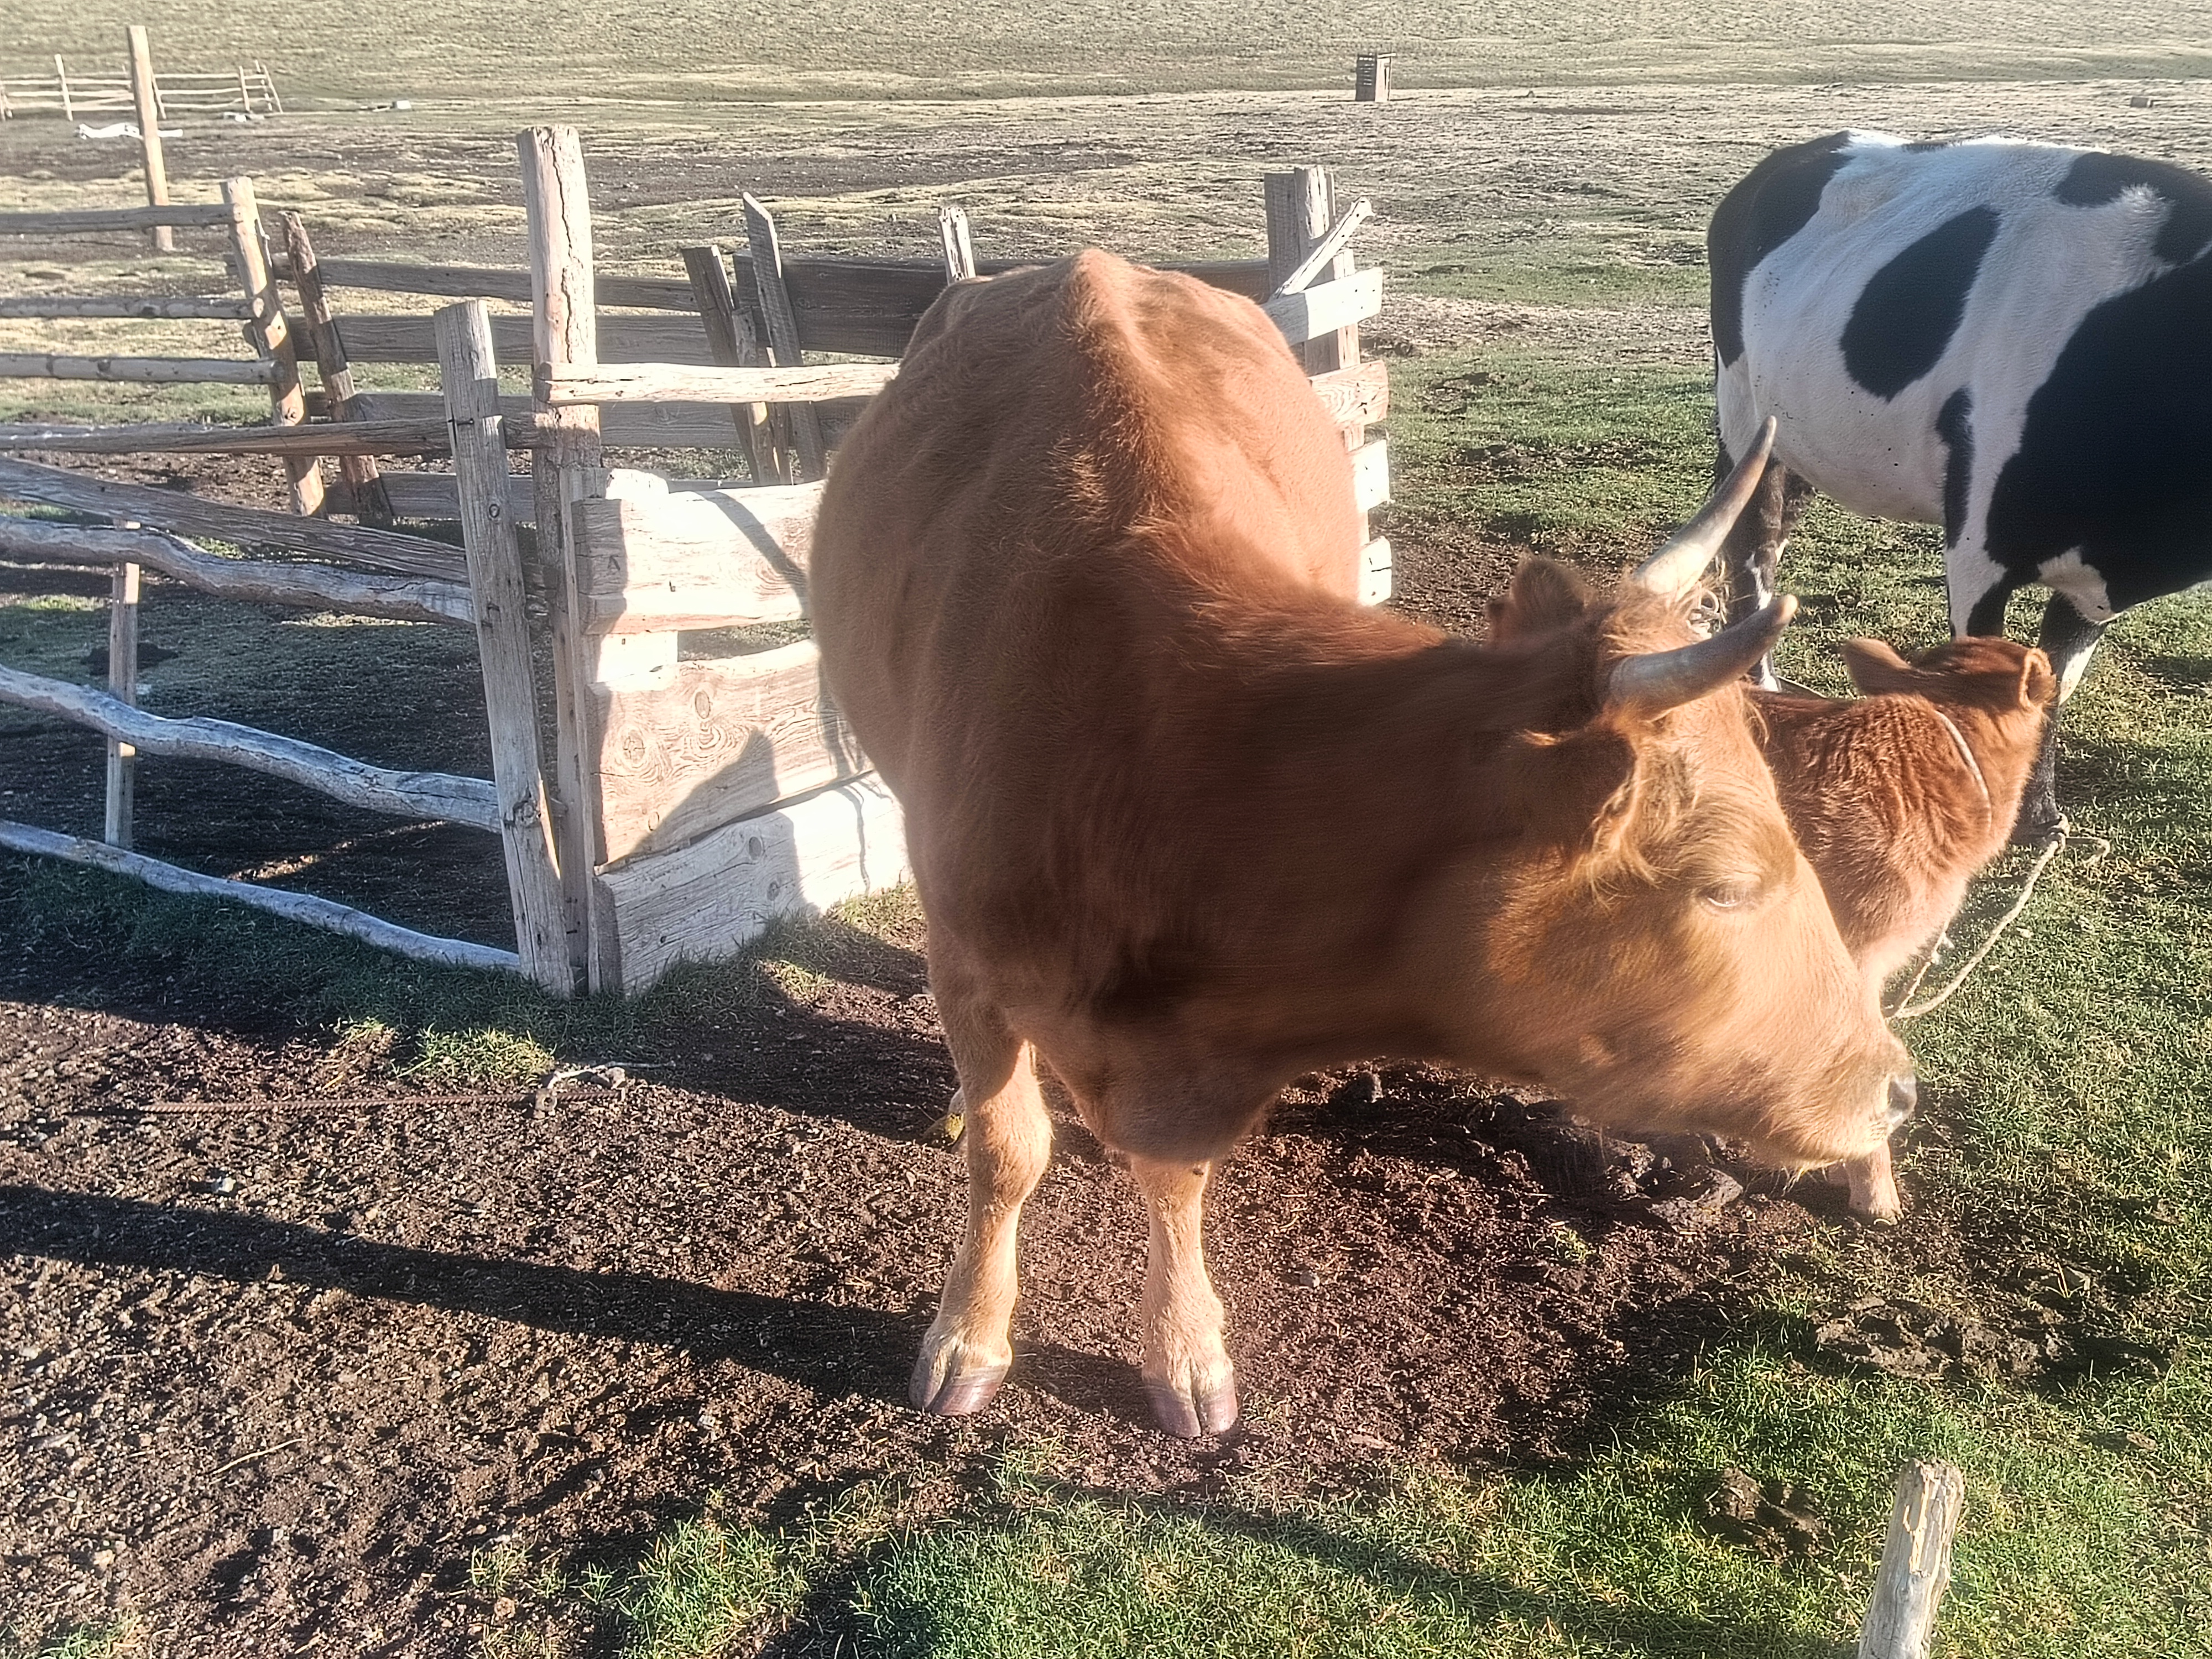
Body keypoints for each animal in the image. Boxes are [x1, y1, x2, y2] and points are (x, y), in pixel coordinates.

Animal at [811, 250, 1915, 1438]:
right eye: (1725, 885)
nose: (1898, 1089)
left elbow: (1171, 1181)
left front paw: (1186, 1352)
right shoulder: (970, 959)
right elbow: (1008, 1152)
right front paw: (968, 1335)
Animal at [1708, 130, 2212, 842]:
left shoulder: (2093, 585)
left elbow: (2051, 682)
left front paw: (2037, 818)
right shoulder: (1979, 546)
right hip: (1748, 420)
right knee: (1750, 545)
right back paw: (1761, 689)